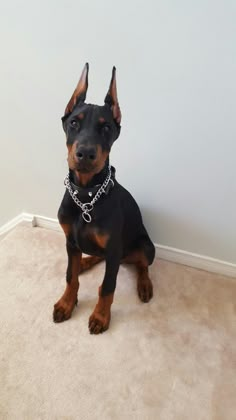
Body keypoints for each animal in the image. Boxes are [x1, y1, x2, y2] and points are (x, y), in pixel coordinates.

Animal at [54, 63, 156, 334]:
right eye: (74, 123)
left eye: (106, 128)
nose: (85, 154)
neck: (87, 196)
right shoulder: (70, 241)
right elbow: (70, 276)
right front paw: (66, 303)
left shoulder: (112, 248)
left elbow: (108, 287)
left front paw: (100, 316)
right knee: (92, 258)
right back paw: (85, 263)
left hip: (144, 247)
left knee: (142, 265)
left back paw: (144, 285)